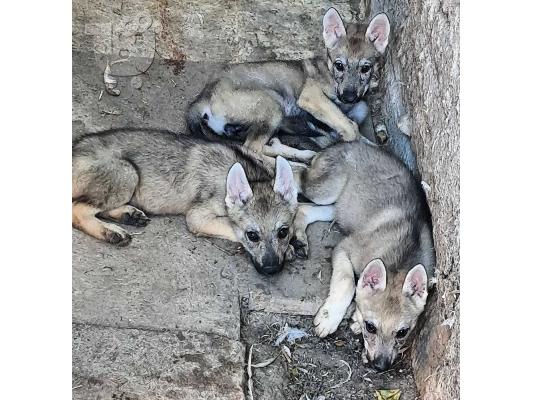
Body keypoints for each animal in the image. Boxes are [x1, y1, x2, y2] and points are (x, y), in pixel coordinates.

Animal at [186, 8, 392, 159]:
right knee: (252, 149)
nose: (349, 97)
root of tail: (202, 98)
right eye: (339, 65)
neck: (330, 73)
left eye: (365, 68)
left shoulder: (356, 105)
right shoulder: (311, 96)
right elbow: (350, 127)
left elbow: (351, 119)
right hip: (271, 105)